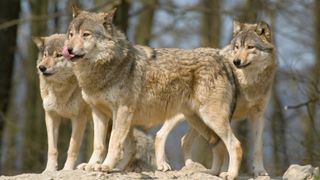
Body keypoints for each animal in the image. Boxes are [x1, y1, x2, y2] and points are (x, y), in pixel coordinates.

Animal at [33, 34, 90, 172]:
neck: (60, 91)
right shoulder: (51, 116)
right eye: (45, 55)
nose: (41, 67)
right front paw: (49, 170)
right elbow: (52, 149)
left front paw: (67, 169)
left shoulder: (79, 118)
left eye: (58, 55)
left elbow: (72, 148)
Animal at [63, 5, 241, 180]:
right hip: (198, 121)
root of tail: (223, 61)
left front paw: (105, 166)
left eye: (86, 34)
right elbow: (98, 145)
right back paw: (211, 173)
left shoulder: (122, 111)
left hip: (211, 119)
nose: (68, 49)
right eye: (71, 34)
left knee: (235, 144)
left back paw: (230, 174)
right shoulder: (99, 113)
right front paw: (91, 165)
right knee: (218, 145)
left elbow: (114, 142)